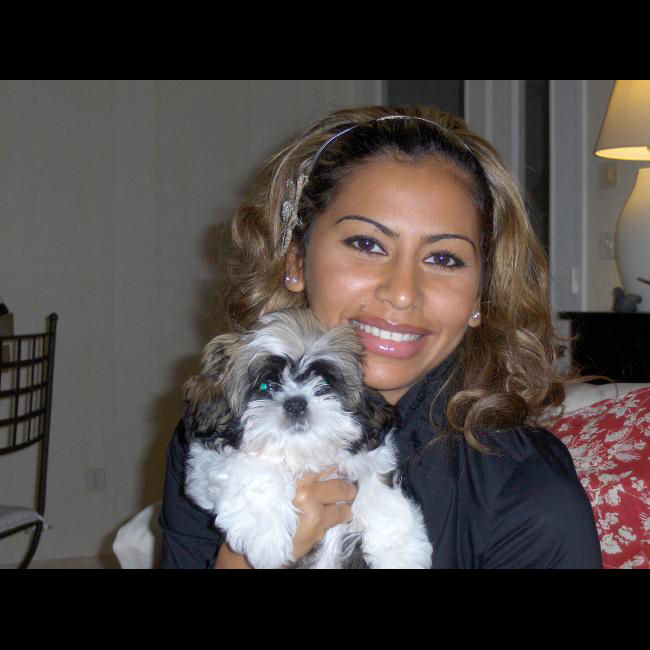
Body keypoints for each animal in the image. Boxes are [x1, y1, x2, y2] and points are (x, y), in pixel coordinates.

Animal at [183, 308, 432, 569]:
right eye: (265, 386)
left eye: (324, 383)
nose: (295, 404)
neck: (305, 455)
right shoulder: (205, 465)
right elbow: (254, 469)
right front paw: (266, 537)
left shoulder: (370, 456)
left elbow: (378, 490)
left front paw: (400, 552)